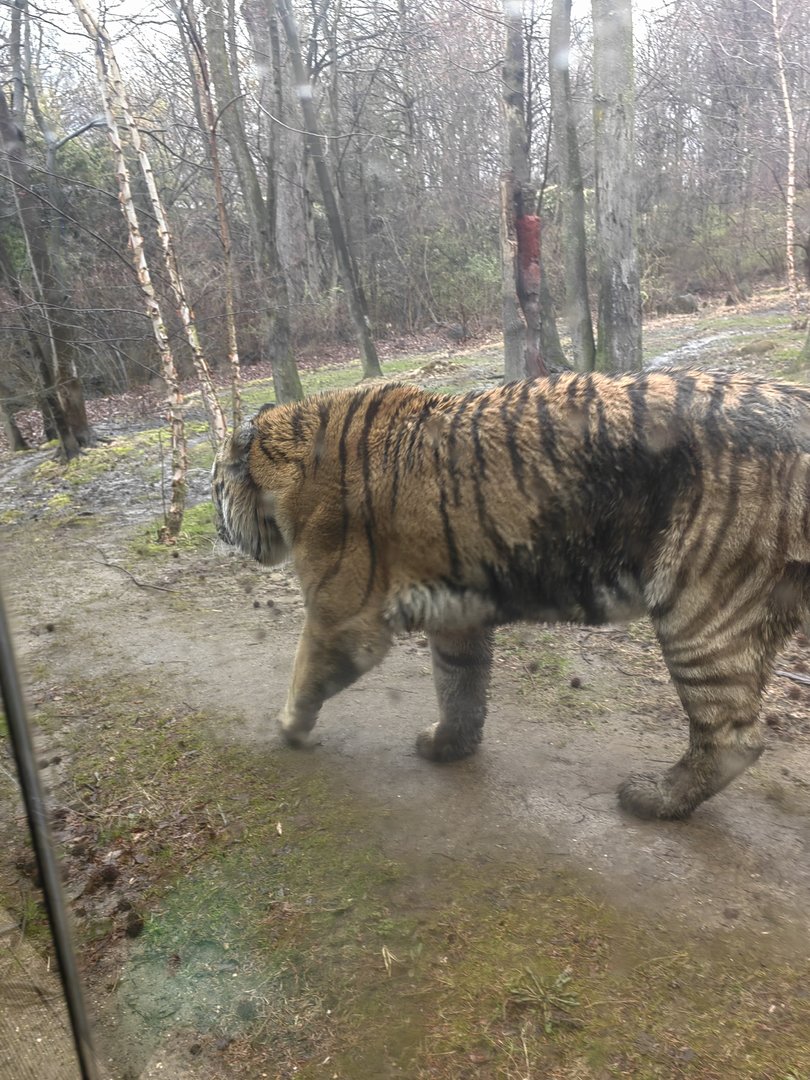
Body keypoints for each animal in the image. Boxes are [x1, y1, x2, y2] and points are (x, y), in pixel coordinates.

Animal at [211, 370, 810, 821]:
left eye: (213, 486)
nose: (217, 528)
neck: (285, 459)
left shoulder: (341, 617)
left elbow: (306, 672)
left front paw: (288, 727)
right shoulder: (455, 613)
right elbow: (459, 686)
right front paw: (447, 747)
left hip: (701, 610)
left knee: (733, 736)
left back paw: (655, 799)